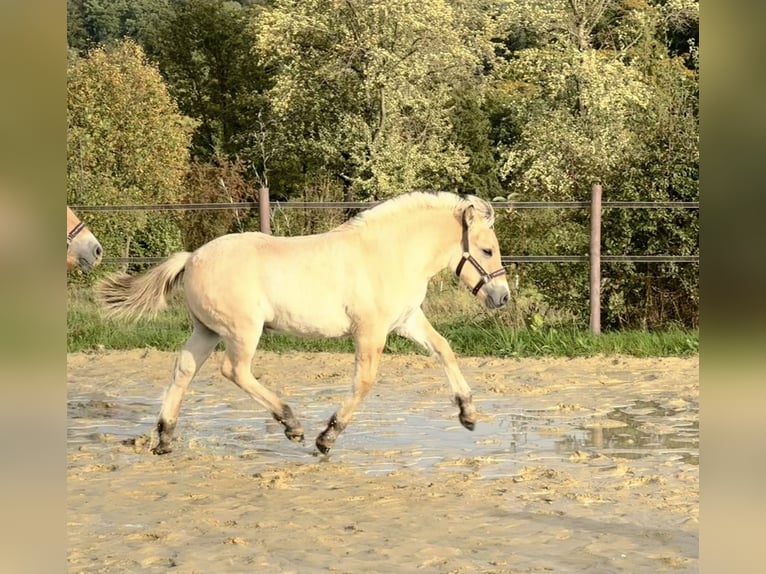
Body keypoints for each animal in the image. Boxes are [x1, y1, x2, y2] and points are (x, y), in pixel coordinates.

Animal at [95, 191, 510, 455]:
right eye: (487, 249)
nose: (502, 297)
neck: (388, 254)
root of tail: (192, 257)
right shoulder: (370, 331)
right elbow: (365, 381)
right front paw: (327, 437)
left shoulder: (406, 321)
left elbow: (444, 350)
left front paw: (468, 414)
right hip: (242, 331)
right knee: (234, 370)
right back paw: (291, 424)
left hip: (206, 331)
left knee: (183, 369)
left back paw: (165, 439)